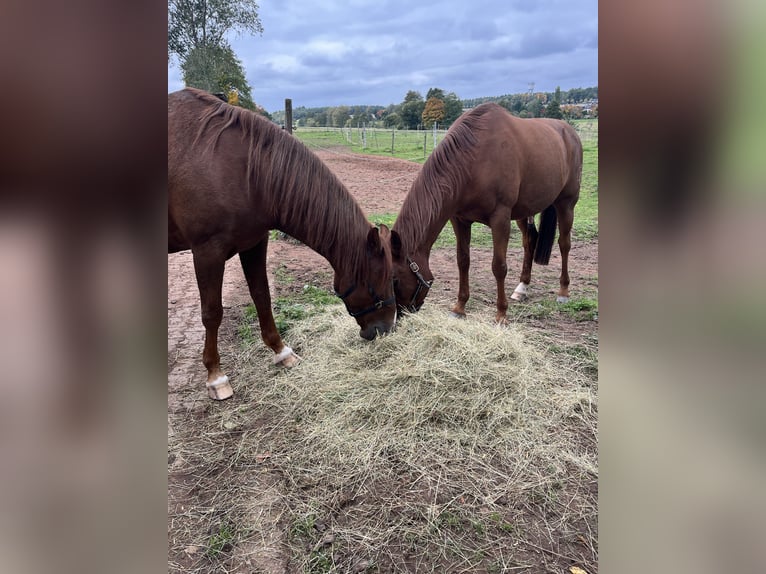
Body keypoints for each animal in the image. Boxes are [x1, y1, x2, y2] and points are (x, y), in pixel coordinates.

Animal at [169, 88, 397, 399]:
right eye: (380, 280)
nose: (386, 329)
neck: (242, 170)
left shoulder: (254, 243)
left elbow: (262, 298)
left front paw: (281, 351)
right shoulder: (207, 252)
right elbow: (212, 313)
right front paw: (216, 377)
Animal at [389, 102, 583, 323]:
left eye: (394, 280)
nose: (395, 319)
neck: (474, 160)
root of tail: (569, 132)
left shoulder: (500, 219)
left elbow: (499, 266)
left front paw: (501, 315)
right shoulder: (459, 220)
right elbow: (463, 261)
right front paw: (459, 307)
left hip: (566, 204)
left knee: (564, 244)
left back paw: (563, 292)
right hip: (524, 211)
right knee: (530, 241)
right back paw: (522, 288)